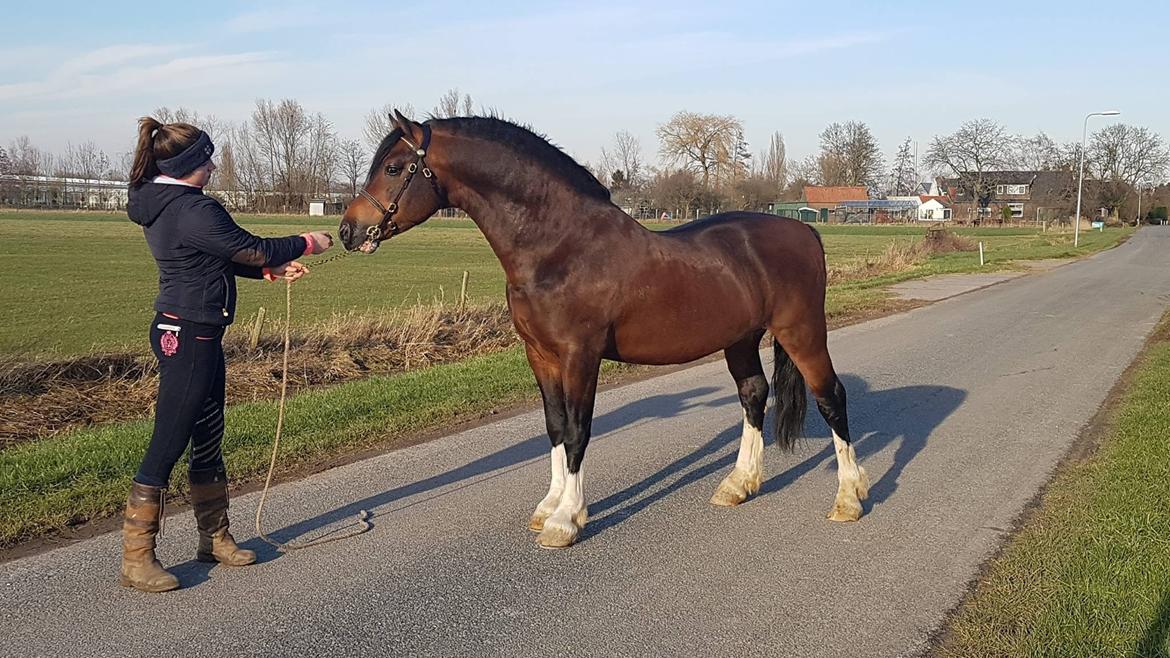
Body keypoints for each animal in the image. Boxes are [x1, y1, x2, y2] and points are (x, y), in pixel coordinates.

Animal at [339, 112, 870, 547]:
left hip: (802, 332)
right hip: (739, 339)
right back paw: (738, 485)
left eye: (393, 168)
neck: (560, 246)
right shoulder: (540, 355)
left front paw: (566, 520)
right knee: (754, 394)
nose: (347, 231)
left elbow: (578, 431)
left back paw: (849, 498)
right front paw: (549, 506)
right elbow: (555, 427)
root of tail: (805, 230)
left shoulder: (581, 355)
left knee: (831, 397)